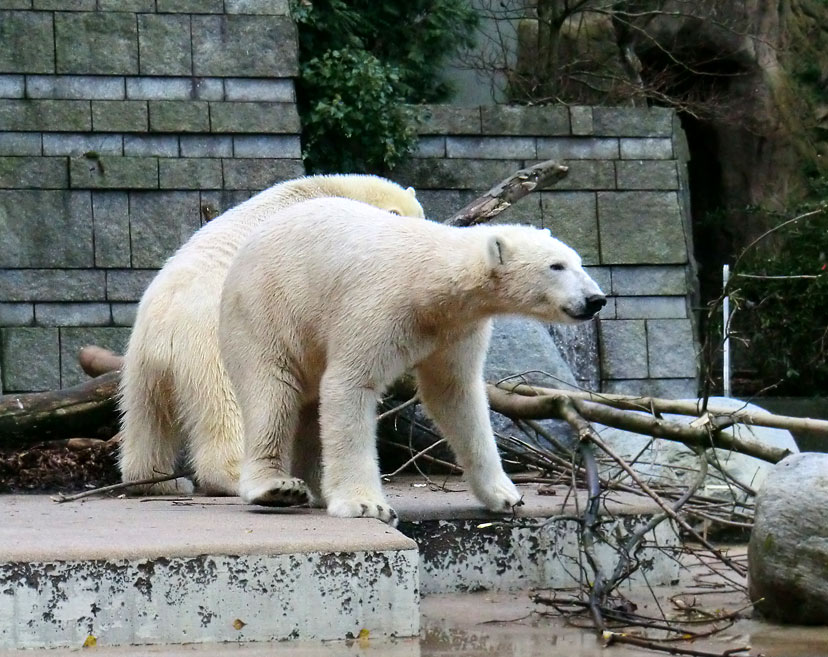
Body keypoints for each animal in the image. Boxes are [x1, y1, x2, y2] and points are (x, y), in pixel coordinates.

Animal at [119, 174, 424, 492]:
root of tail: (164, 329)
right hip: (217, 345)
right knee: (232, 405)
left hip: (140, 364)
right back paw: (235, 476)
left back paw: (158, 481)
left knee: (146, 417)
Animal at [218, 195, 608, 524]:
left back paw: (316, 487)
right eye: (556, 266)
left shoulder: (456, 329)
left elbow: (456, 394)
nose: (596, 299)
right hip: (265, 310)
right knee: (273, 391)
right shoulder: (378, 305)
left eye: (578, 262)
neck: (429, 280)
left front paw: (505, 494)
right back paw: (277, 487)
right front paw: (365, 504)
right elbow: (351, 384)